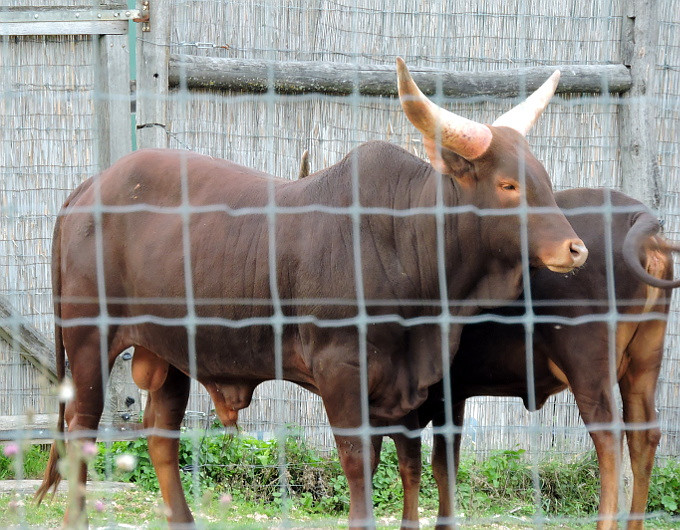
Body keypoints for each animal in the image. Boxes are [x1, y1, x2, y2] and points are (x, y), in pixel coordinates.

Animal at [35, 59, 584, 524]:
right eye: (509, 185)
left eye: (544, 179)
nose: (575, 248)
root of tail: (89, 188)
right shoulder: (341, 374)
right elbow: (359, 467)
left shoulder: (407, 389)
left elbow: (405, 466)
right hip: (87, 340)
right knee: (82, 429)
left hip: (170, 353)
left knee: (160, 436)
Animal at [380, 188, 676, 524]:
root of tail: (637, 216)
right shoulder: (450, 396)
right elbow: (444, 467)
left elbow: (408, 466)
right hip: (642, 365)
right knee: (644, 435)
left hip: (588, 370)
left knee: (610, 440)